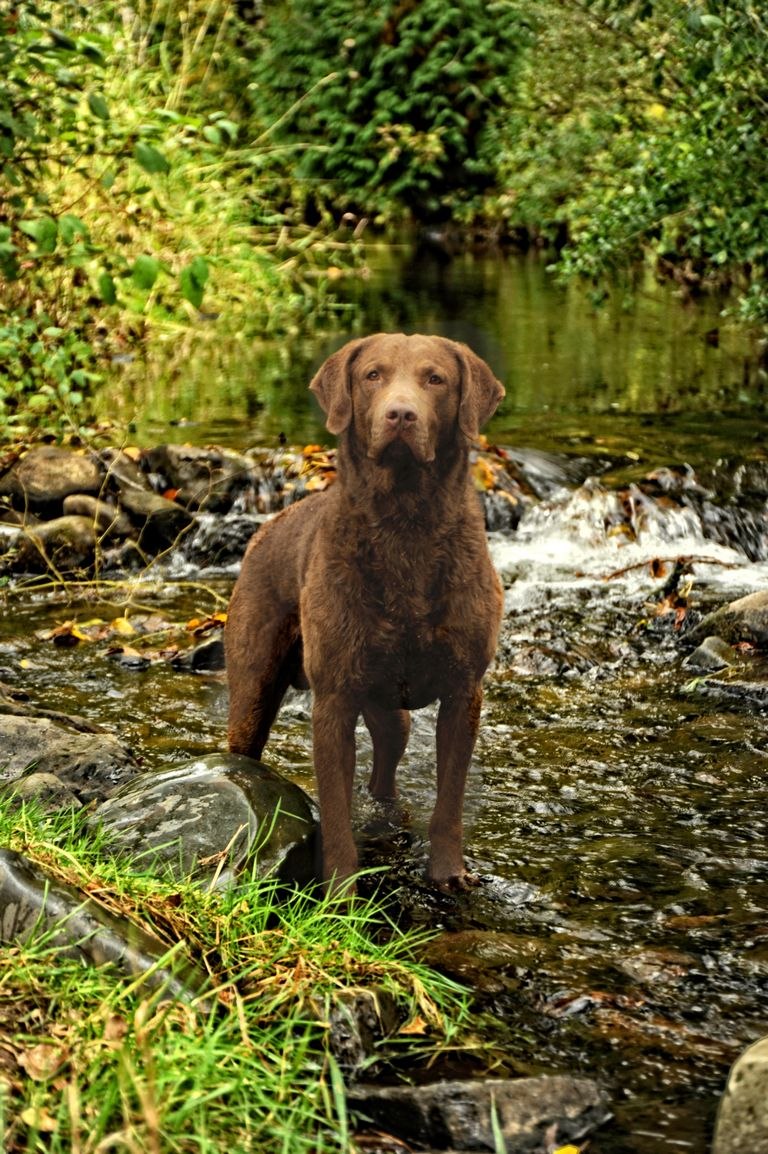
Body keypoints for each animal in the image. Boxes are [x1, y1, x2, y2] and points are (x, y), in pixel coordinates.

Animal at [224, 334, 505, 890]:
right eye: (372, 375)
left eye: (435, 379)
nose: (401, 414)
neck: (406, 527)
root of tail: (269, 525)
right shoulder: (333, 700)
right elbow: (335, 810)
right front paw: (340, 891)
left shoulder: (464, 692)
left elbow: (449, 802)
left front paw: (448, 874)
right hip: (254, 684)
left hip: (388, 707)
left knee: (387, 761)